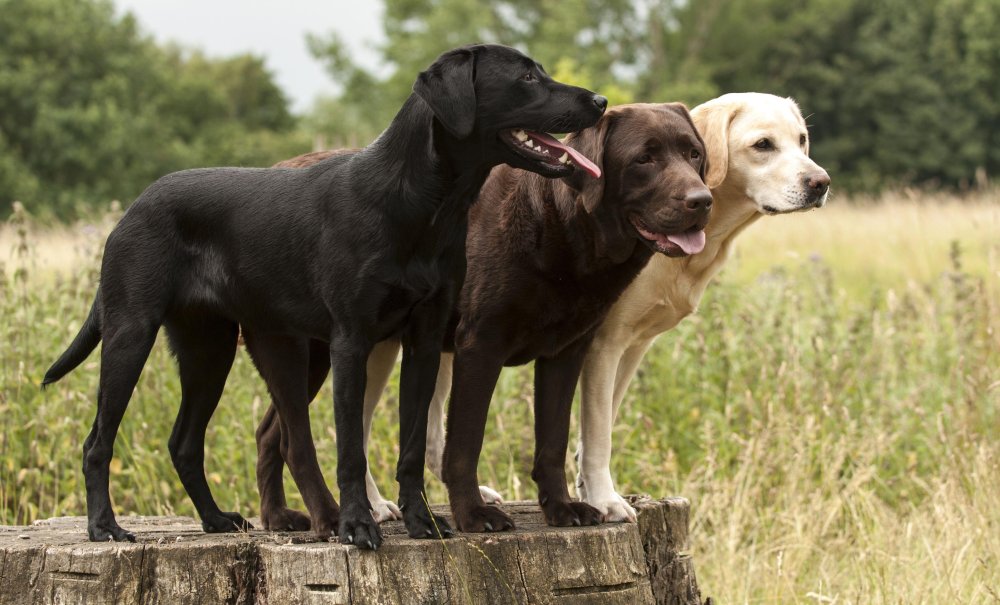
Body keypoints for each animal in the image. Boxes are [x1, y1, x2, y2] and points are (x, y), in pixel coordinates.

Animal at [43, 44, 604, 544]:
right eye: (526, 77)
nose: (598, 100)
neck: (419, 204)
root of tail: (133, 207)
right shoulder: (351, 341)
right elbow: (351, 450)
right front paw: (357, 527)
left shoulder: (423, 342)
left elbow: (411, 448)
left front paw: (422, 522)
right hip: (132, 334)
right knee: (99, 441)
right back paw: (105, 527)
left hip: (216, 349)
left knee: (188, 443)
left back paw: (217, 520)